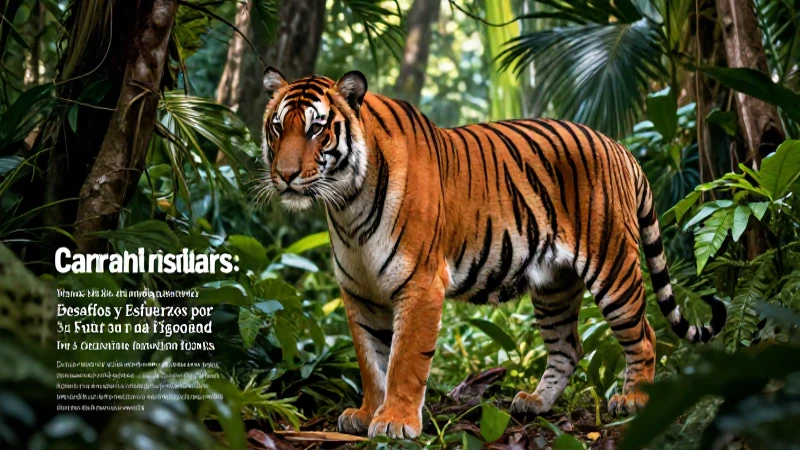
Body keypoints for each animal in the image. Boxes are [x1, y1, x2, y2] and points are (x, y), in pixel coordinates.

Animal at [258, 67, 728, 439]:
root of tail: (620, 147)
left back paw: (632, 401)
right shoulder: (360, 292)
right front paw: (367, 412)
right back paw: (535, 402)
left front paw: (395, 421)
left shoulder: (420, 284)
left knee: (645, 335)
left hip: (614, 268)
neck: (346, 206)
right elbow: (371, 361)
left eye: (316, 129)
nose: (285, 175)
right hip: (554, 286)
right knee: (568, 348)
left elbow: (403, 360)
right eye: (278, 127)